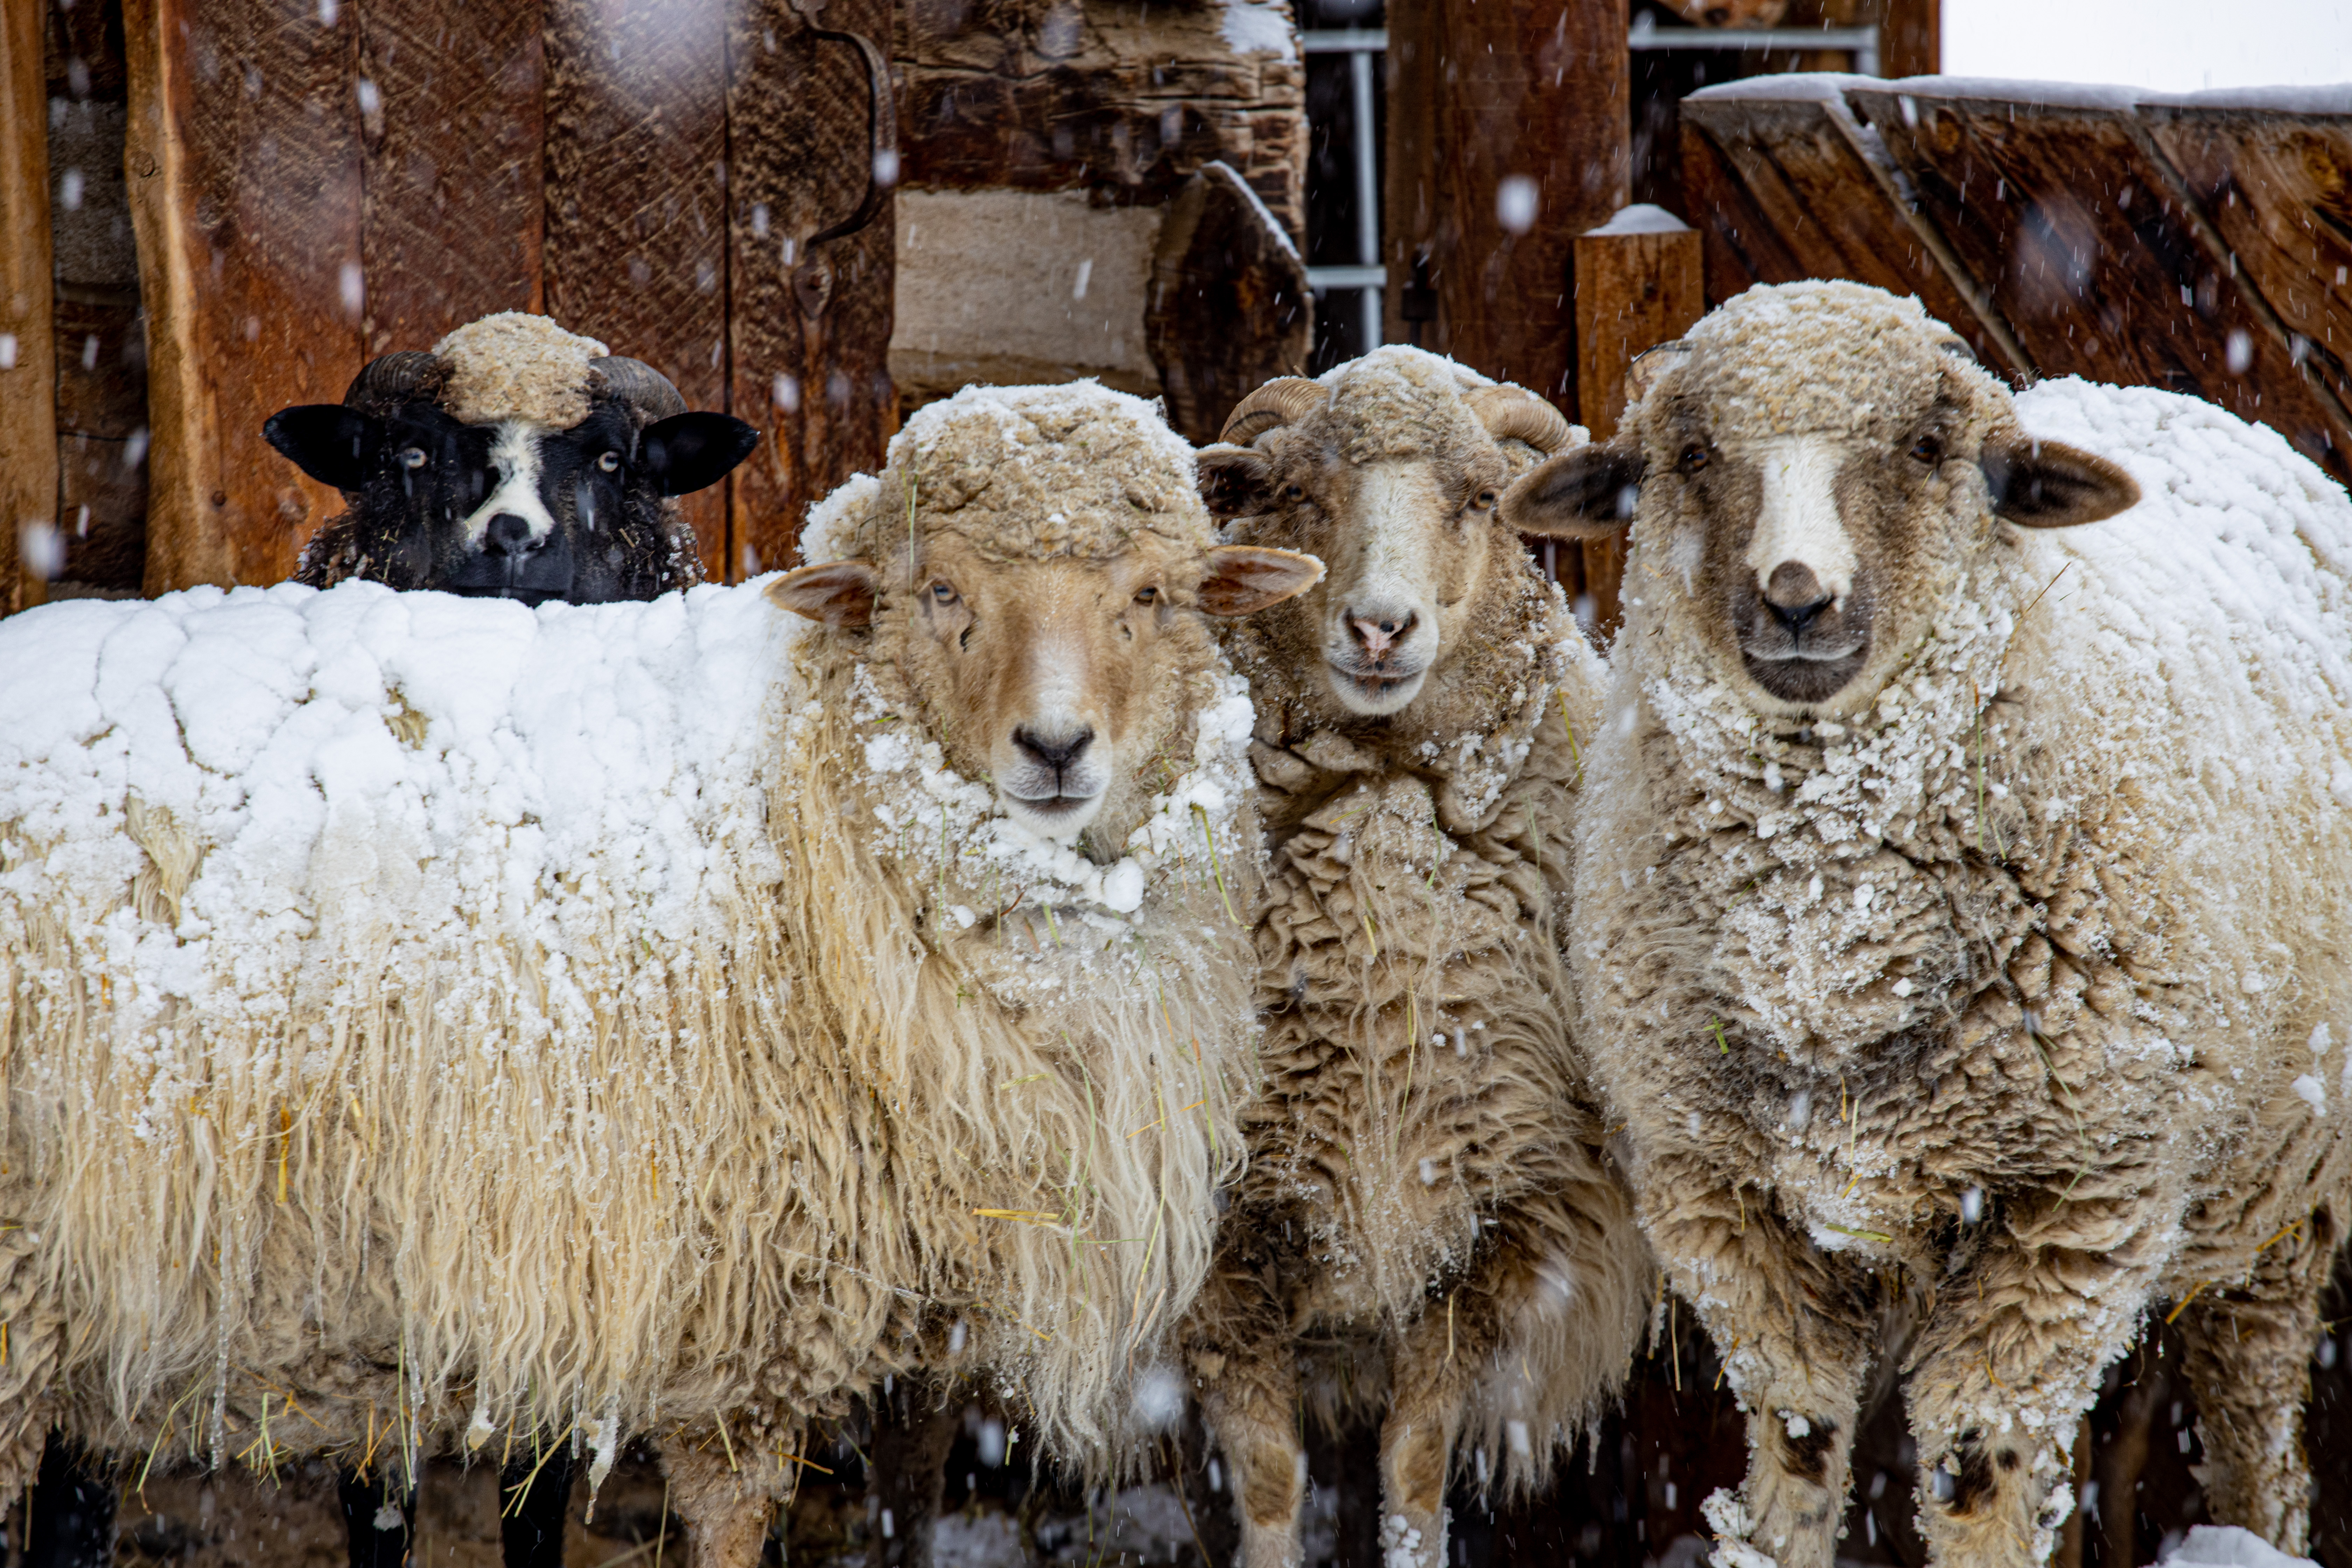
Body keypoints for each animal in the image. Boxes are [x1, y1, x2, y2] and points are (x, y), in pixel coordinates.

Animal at [0, 382, 1321, 1564]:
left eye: (1150, 596)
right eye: (941, 590)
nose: (1055, 749)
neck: (805, 793)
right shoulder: (735, 1301)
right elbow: (731, 1525)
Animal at [1178, 347, 1650, 1568]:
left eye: (1481, 497)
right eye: (1299, 493)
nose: (1379, 628)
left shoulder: (1489, 1228)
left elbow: (1414, 1468)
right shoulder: (1222, 1244)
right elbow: (1267, 1481)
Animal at [1501, 280, 2352, 1568]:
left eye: (1927, 448)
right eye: (1689, 455)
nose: (1797, 599)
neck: (1830, 927)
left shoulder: (2077, 1202)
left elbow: (1977, 1464)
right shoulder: (1718, 1192)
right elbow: (1799, 1436)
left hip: (2278, 1178)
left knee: (2254, 1402)